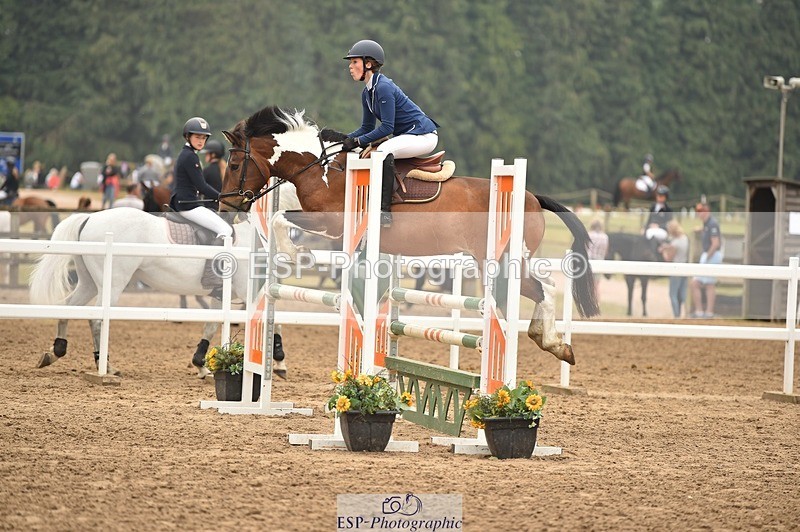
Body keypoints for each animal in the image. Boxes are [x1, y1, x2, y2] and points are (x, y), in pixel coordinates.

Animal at [29, 207, 290, 378]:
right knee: (97, 319)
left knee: (69, 308)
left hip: (89, 283)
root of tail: (90, 217)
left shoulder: (221, 296)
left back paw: (55, 352)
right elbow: (275, 321)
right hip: (112, 283)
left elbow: (211, 325)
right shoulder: (248, 292)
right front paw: (279, 361)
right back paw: (106, 366)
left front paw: (200, 365)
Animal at [217, 105, 600, 365]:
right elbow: (280, 218)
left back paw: (553, 343)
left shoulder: (334, 224)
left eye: (234, 165)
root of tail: (532, 197)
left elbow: (280, 218)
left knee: (543, 289)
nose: (226, 206)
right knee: (543, 287)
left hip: (502, 260)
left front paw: (294, 254)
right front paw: (295, 255)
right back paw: (550, 341)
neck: (322, 169)